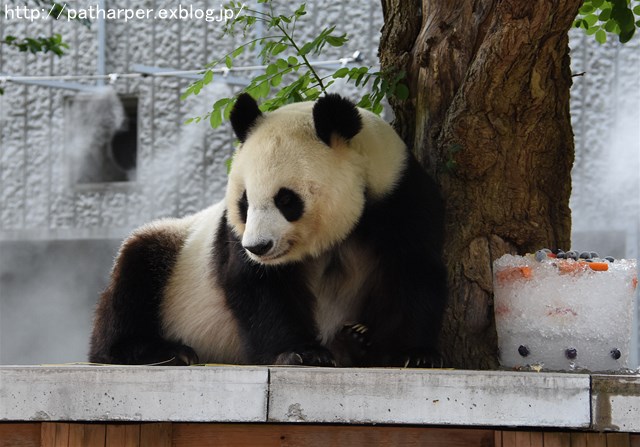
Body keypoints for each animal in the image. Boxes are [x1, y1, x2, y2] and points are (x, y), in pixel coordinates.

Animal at [90, 93, 448, 368]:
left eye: (286, 199)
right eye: (244, 202)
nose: (258, 246)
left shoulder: (398, 196)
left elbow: (415, 270)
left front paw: (413, 354)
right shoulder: (234, 237)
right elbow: (256, 284)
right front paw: (301, 353)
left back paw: (354, 341)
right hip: (174, 254)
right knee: (134, 277)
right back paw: (160, 351)